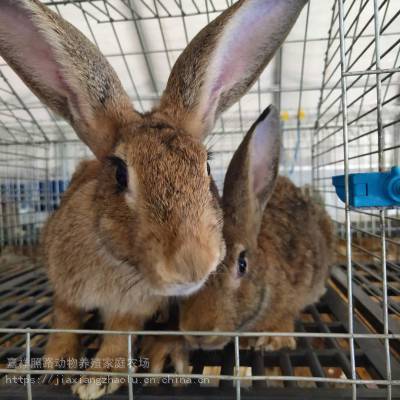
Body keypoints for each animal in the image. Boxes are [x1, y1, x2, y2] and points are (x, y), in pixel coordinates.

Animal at [0, 1, 306, 398]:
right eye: (119, 173)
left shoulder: (131, 309)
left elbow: (119, 336)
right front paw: (56, 366)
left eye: (206, 167)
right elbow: (64, 320)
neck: (117, 264)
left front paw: (99, 378)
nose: (193, 265)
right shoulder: (63, 286)